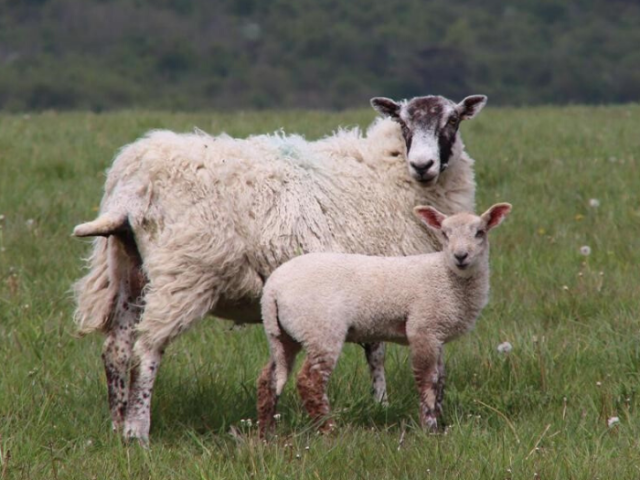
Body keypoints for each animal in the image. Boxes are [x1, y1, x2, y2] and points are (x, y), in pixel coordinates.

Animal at [257, 203, 512, 437]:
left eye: (480, 232)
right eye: (444, 233)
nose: (460, 256)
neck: (446, 276)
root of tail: (272, 289)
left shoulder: (436, 333)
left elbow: (440, 380)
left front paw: (441, 424)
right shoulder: (422, 327)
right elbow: (427, 380)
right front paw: (429, 428)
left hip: (284, 332)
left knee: (269, 377)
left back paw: (266, 432)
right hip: (321, 327)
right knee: (310, 381)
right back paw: (329, 430)